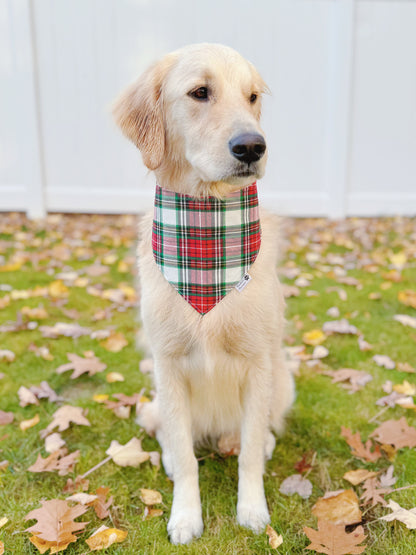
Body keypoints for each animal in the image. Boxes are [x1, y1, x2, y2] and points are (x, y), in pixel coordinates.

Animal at [112, 44, 294, 548]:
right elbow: (185, 454)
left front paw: (252, 510)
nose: (252, 147)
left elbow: (249, 452)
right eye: (199, 92)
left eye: (252, 97)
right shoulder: (169, 365)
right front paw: (186, 516)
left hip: (283, 379)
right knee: (172, 440)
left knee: (257, 433)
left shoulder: (258, 362)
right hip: (155, 397)